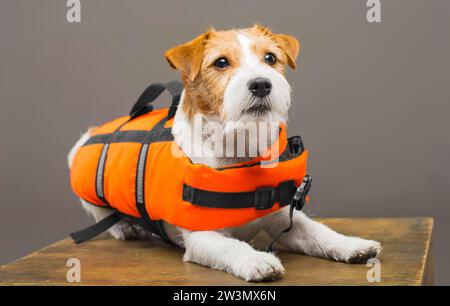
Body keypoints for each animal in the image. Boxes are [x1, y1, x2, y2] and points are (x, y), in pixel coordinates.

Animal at [68, 25, 382, 280]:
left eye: (270, 58)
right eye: (221, 62)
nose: (261, 83)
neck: (241, 150)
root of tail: (89, 134)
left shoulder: (284, 218)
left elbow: (318, 232)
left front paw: (352, 245)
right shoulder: (202, 237)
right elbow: (232, 245)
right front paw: (256, 259)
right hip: (89, 191)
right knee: (102, 214)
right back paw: (126, 228)